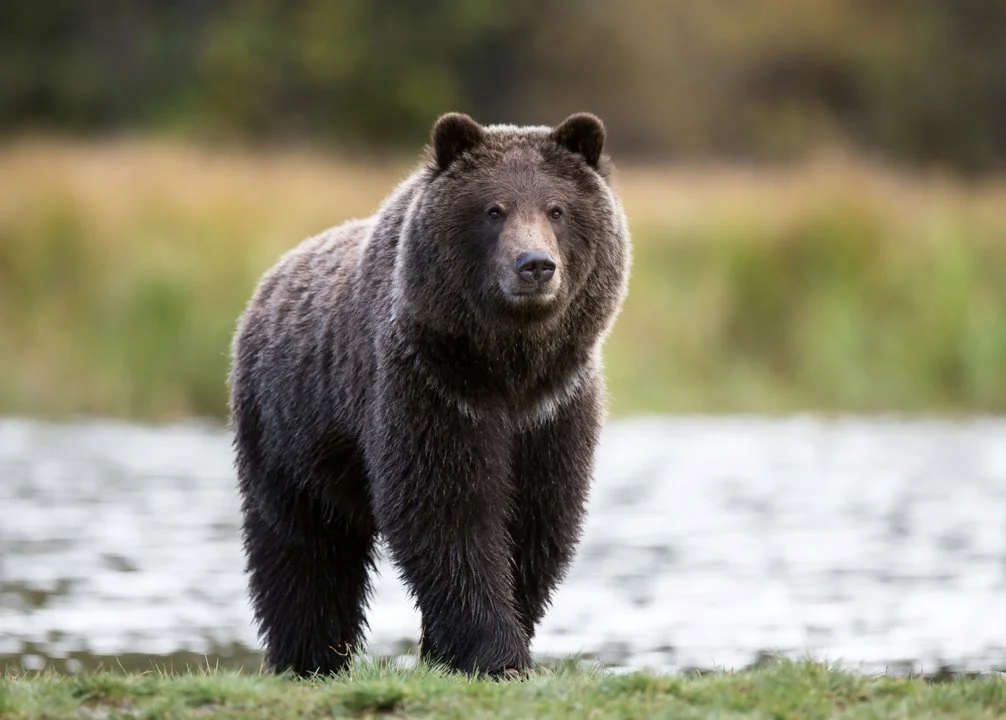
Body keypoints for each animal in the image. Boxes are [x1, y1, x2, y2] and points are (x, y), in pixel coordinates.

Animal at [228, 111, 631, 678]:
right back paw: (309, 657)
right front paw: (495, 652)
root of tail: (270, 280)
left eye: (557, 209)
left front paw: (460, 649)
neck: (507, 366)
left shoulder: (554, 407)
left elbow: (537, 520)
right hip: (288, 430)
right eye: (493, 210)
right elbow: (447, 512)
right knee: (302, 546)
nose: (535, 265)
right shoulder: (431, 385)